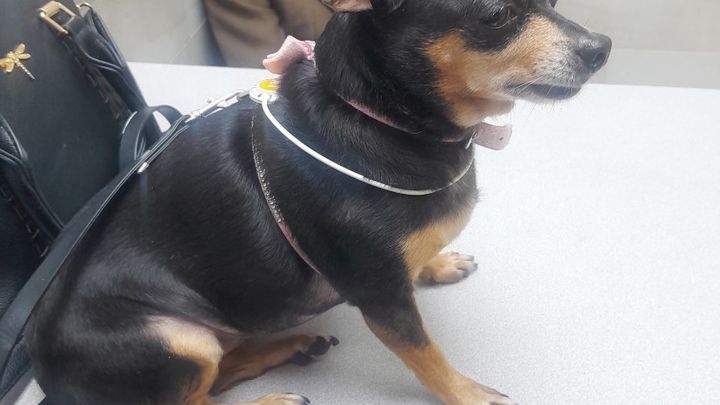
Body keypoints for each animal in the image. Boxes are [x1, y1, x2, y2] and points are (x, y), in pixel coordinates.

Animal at [27, 0, 611, 404]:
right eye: (496, 15)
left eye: (553, 1)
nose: (601, 47)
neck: (377, 119)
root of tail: (46, 377)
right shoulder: (381, 297)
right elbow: (428, 354)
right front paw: (468, 394)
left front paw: (437, 263)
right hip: (173, 339)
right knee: (194, 398)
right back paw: (274, 397)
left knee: (223, 371)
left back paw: (290, 348)